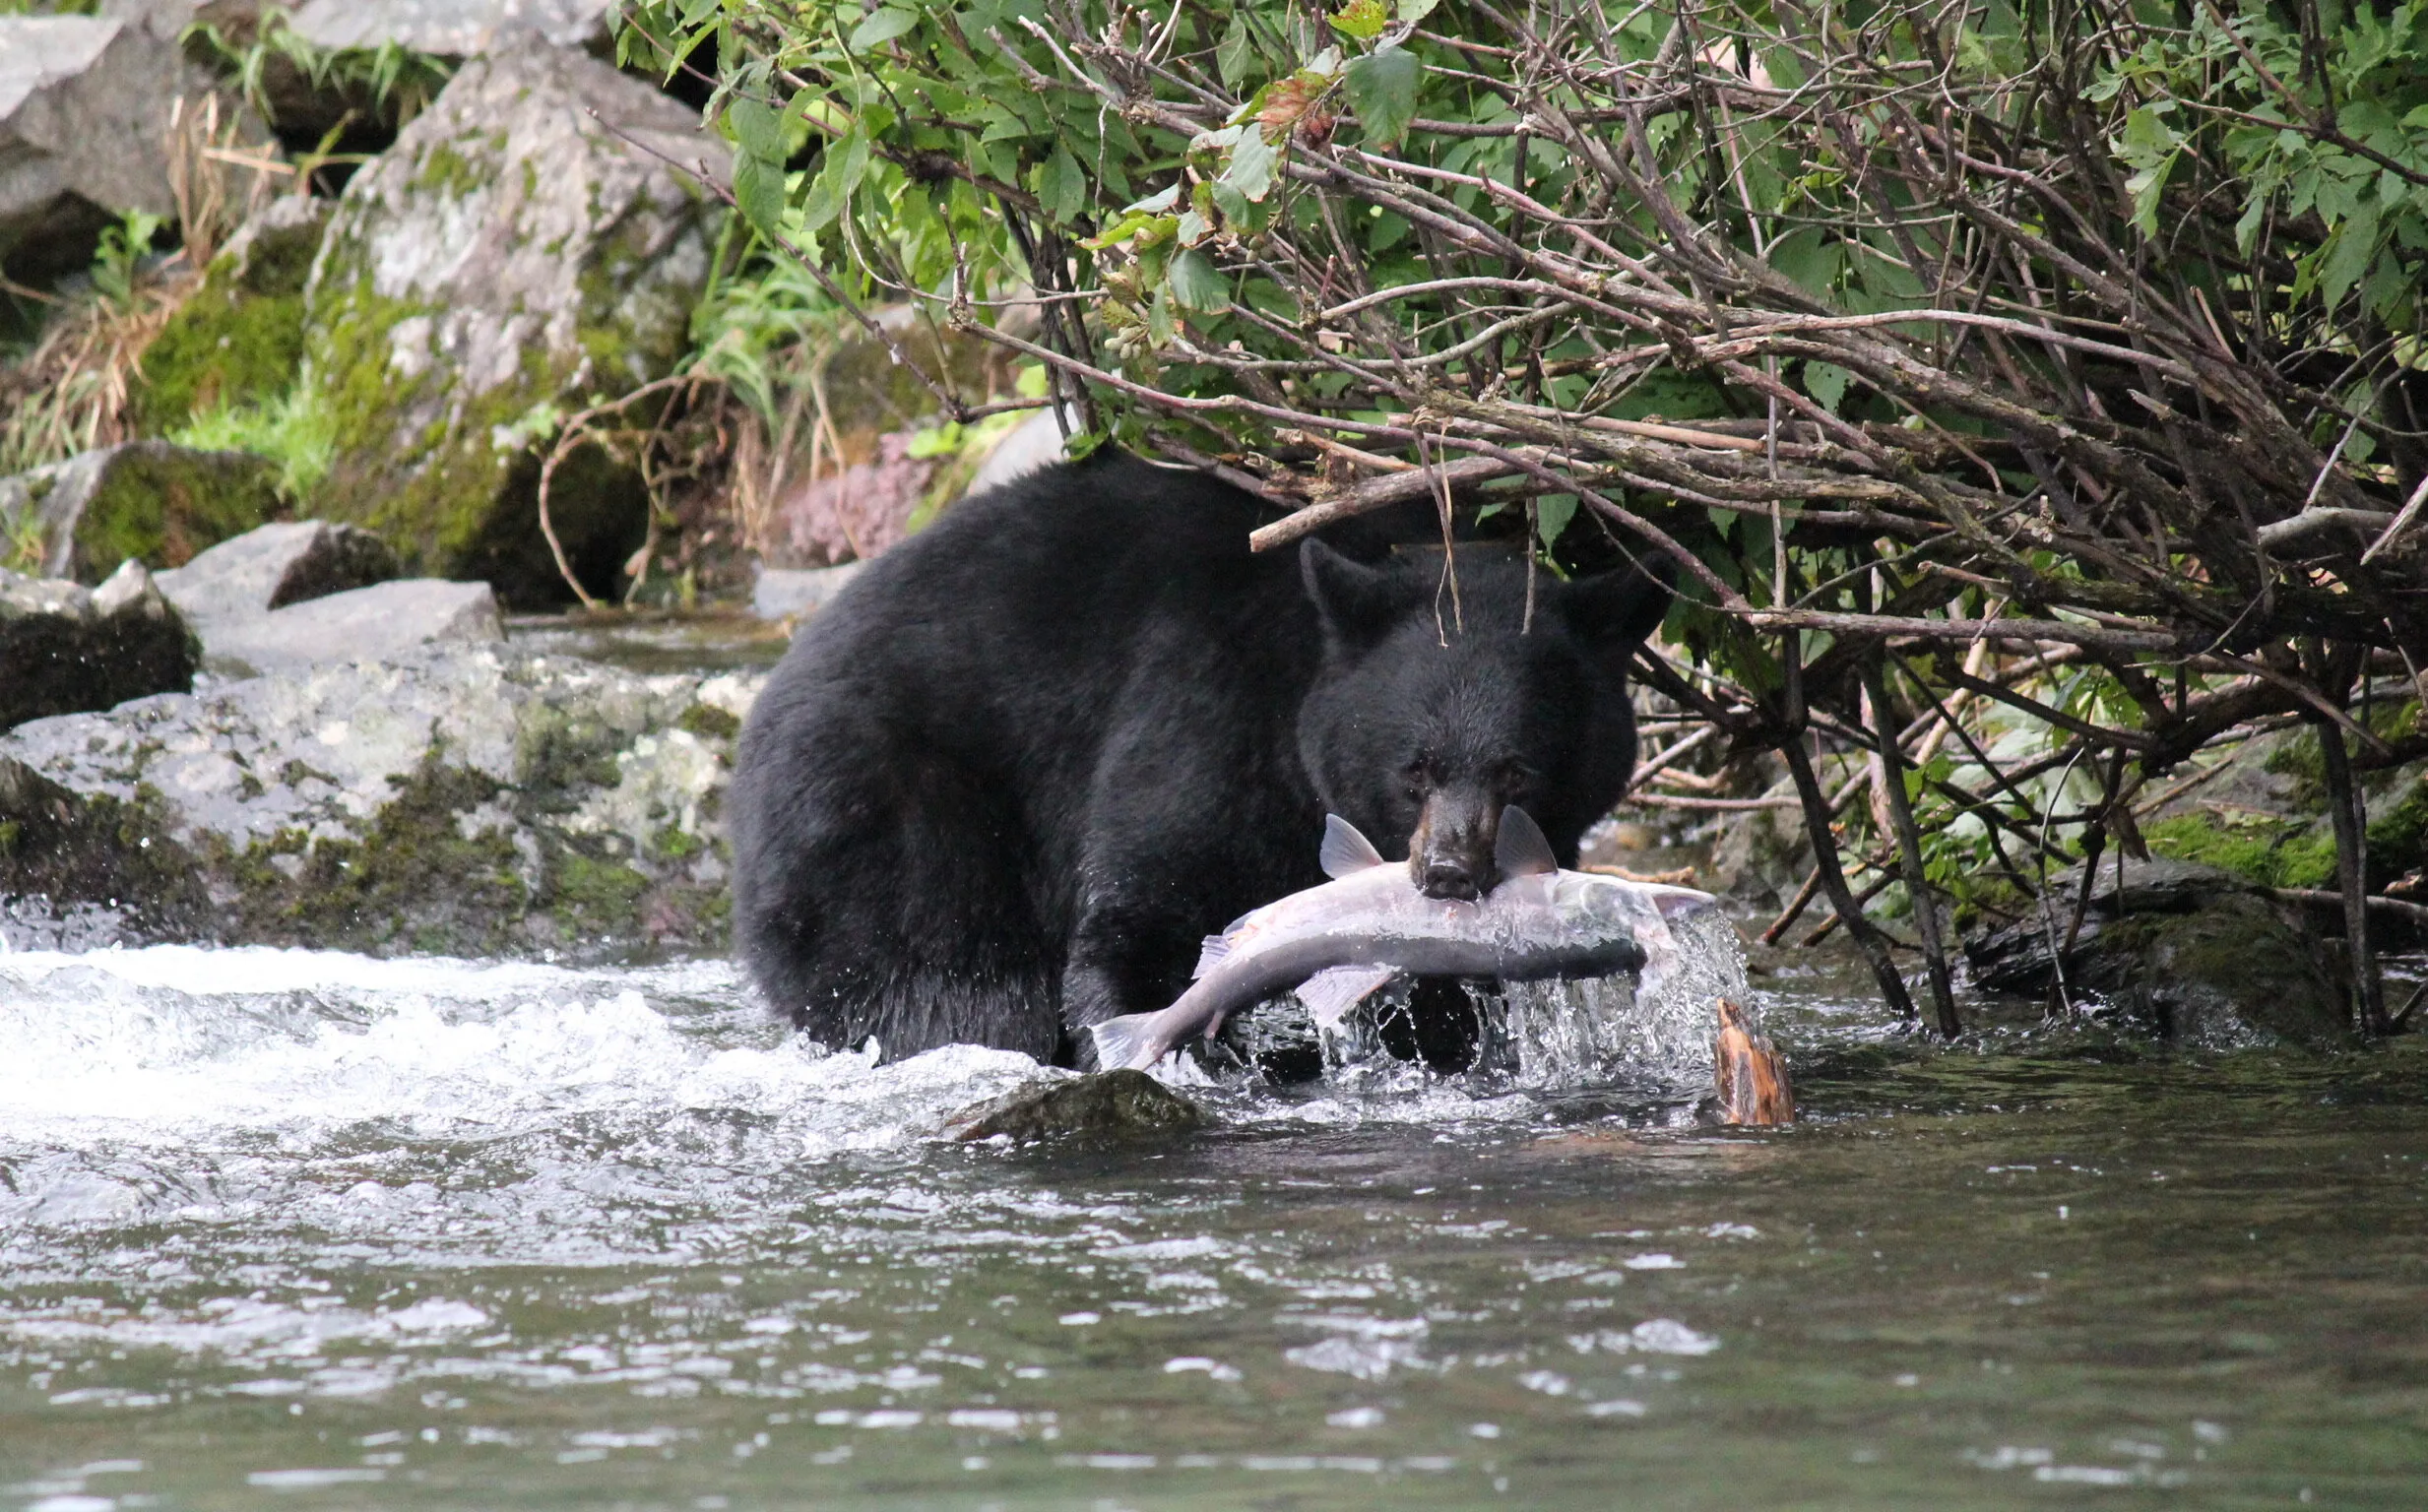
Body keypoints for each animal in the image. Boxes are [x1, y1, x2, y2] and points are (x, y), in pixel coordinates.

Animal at [728, 451, 1673, 1066]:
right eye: (1416, 769)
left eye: (1519, 771)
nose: (1447, 874)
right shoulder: (1209, 707)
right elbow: (1149, 902)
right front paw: (1159, 1036)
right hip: (884, 812)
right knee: (950, 977)